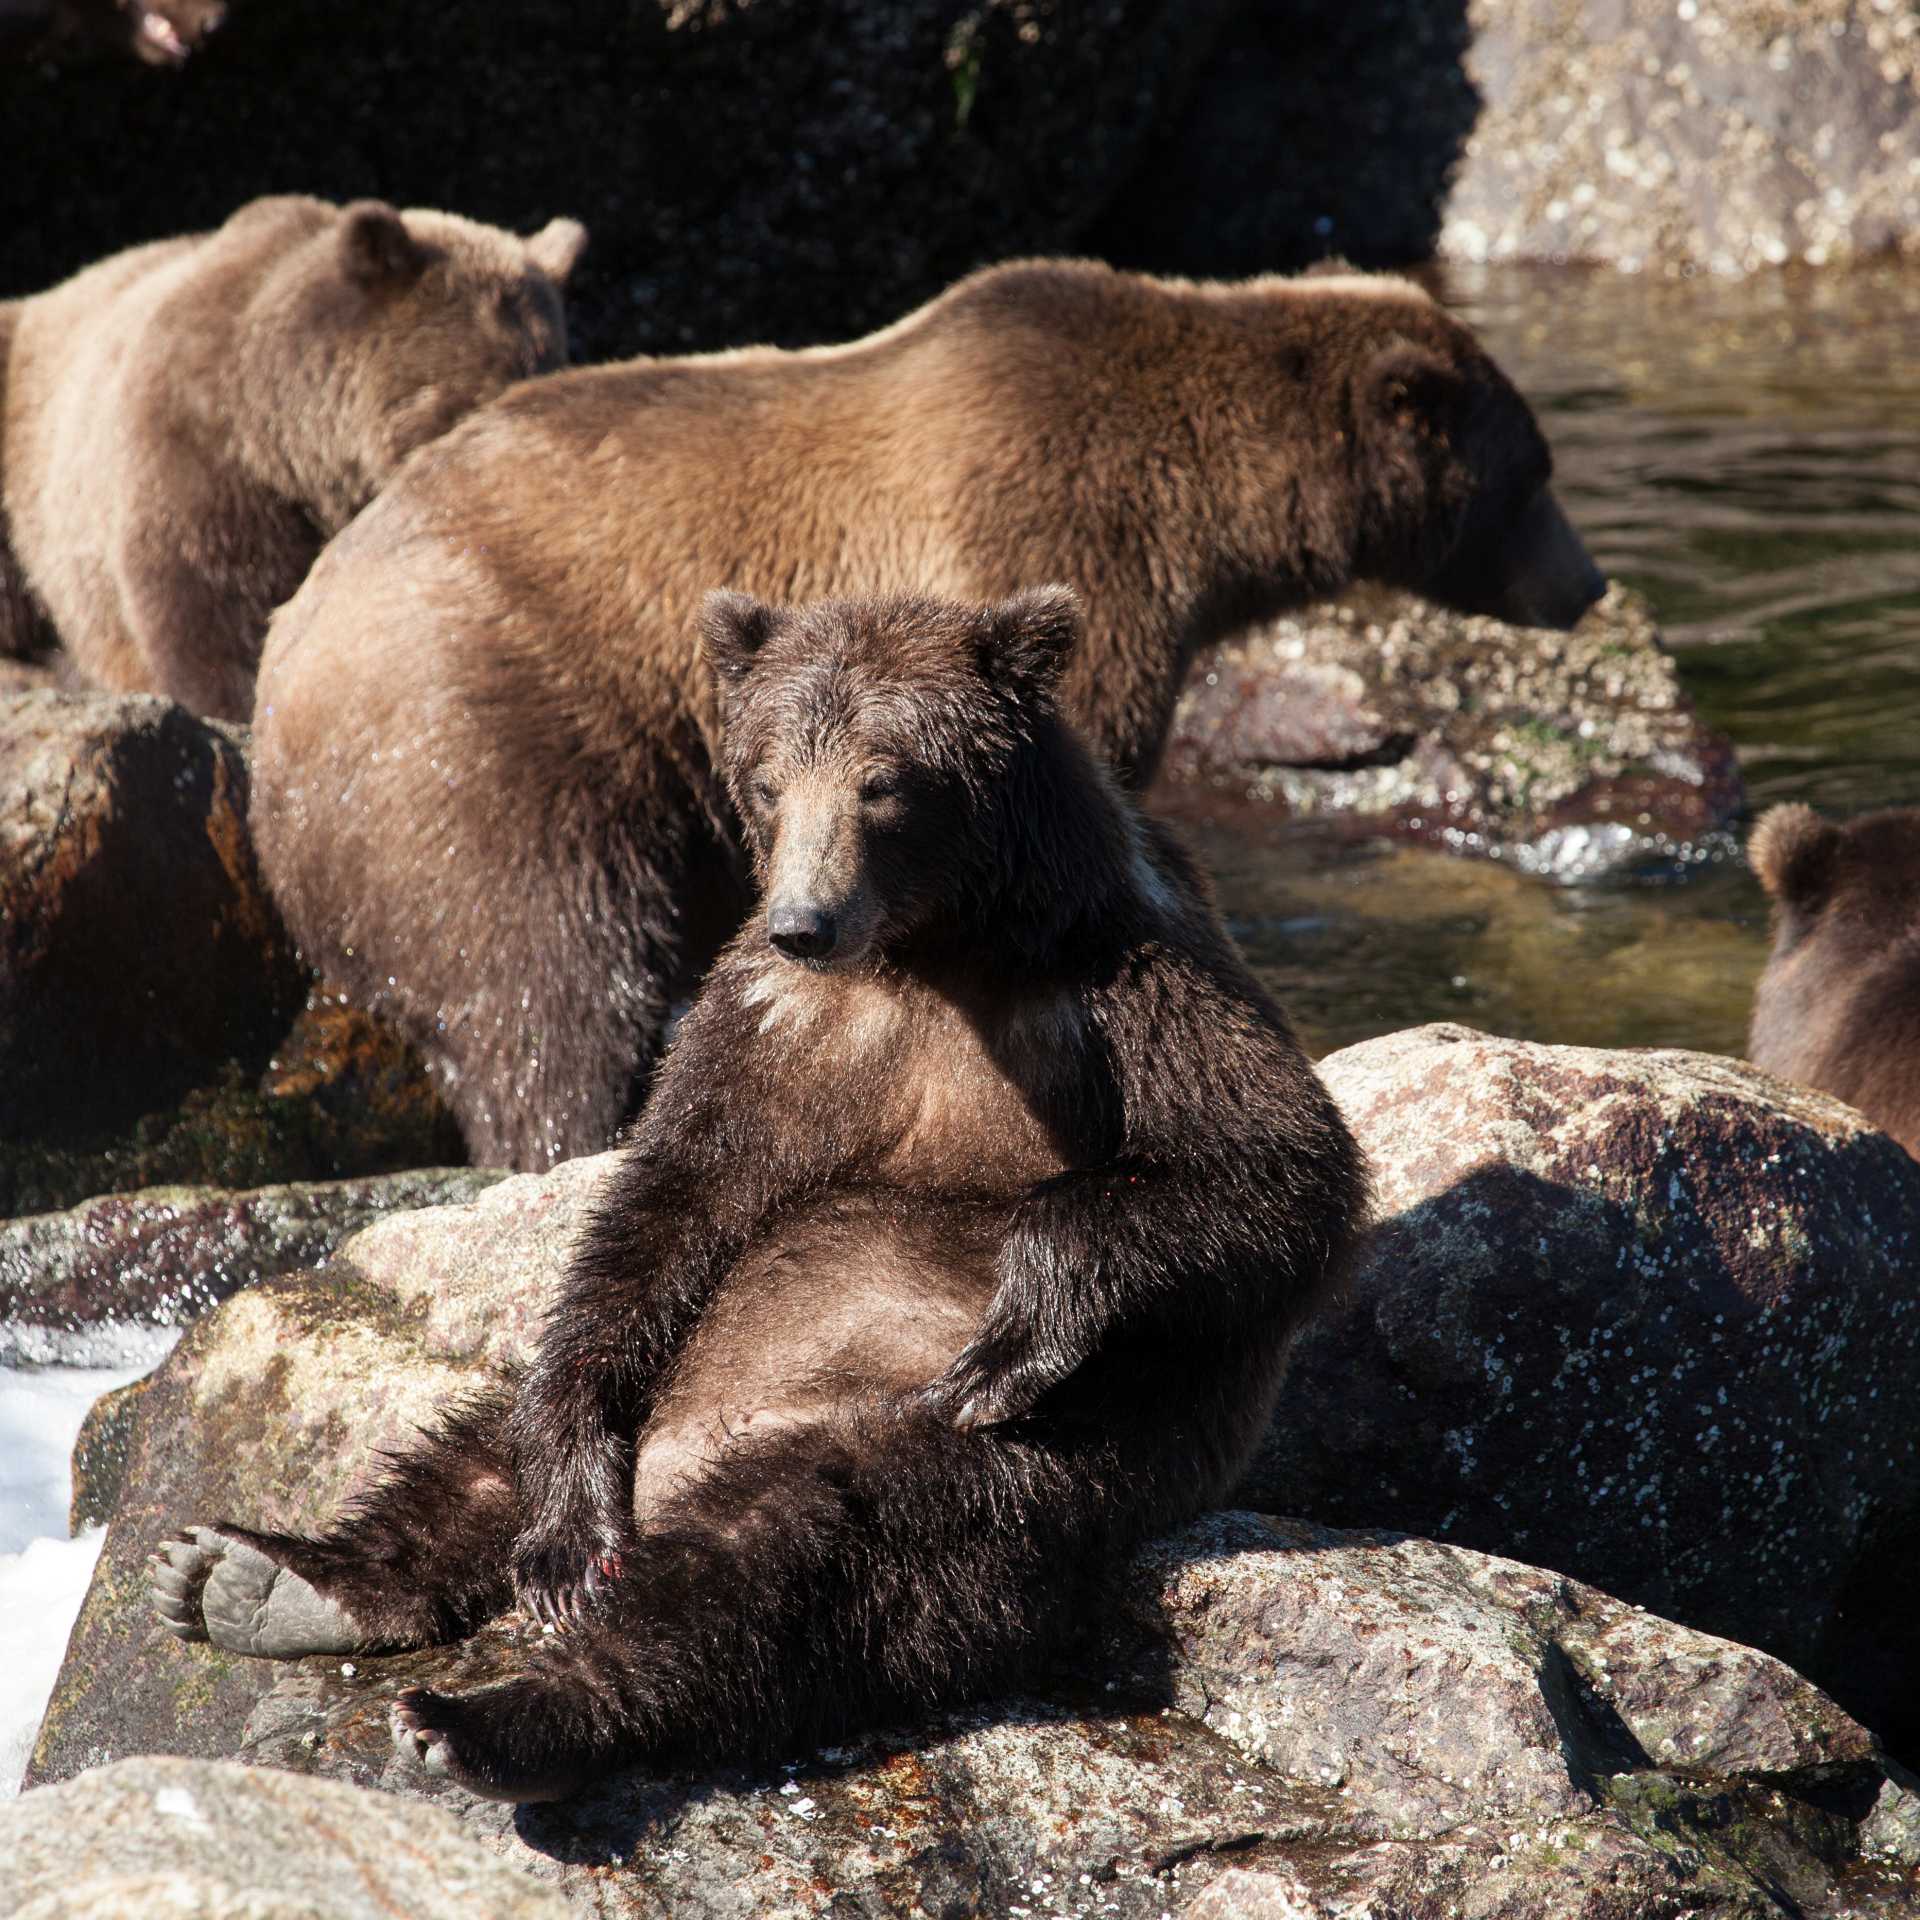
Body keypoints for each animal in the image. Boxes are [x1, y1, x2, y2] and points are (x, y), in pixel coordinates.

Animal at [149, 587, 1368, 1803]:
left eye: (884, 778)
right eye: (771, 777)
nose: (805, 921)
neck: (933, 953)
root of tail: (685, 1466)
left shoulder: (1127, 982)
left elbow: (1275, 1175)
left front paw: (1022, 1321)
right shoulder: (764, 1027)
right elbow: (663, 1208)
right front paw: (543, 1525)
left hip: (969, 1461)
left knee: (794, 1561)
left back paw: (486, 1715)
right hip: (668, 1383)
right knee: (495, 1440)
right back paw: (259, 1574)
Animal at [249, 257, 1605, 1171]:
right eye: (1535, 474)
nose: (1587, 582)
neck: (1207, 515)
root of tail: (277, 678)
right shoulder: (1049, 531)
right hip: (490, 750)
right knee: (547, 986)